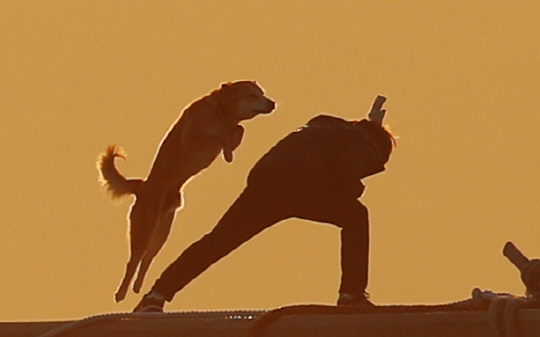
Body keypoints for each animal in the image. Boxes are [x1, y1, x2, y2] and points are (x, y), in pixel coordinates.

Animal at [97, 80, 276, 300]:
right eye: (252, 95)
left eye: (262, 93)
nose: (273, 103)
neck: (220, 111)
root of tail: (143, 186)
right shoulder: (194, 139)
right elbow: (225, 134)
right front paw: (227, 146)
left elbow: (238, 129)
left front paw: (229, 150)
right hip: (145, 229)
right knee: (134, 260)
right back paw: (121, 293)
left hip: (162, 231)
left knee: (147, 259)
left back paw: (138, 287)